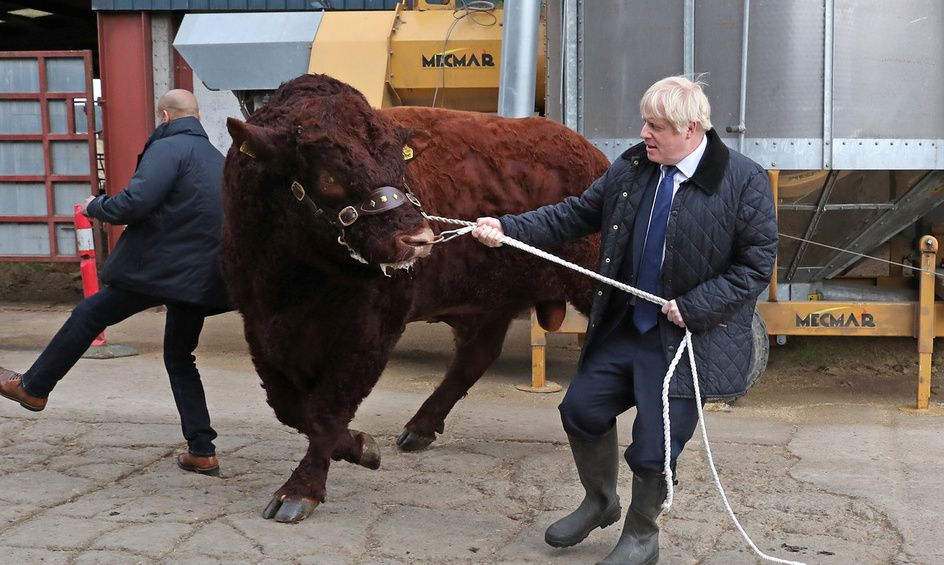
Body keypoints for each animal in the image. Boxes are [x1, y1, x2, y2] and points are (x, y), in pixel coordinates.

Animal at [223, 72, 604, 524]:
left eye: (399, 164)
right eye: (329, 176)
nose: (419, 239)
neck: (292, 279)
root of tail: (589, 152)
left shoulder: (372, 330)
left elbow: (326, 410)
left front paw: (302, 490)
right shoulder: (259, 325)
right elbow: (291, 407)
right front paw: (360, 446)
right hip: (491, 301)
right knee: (475, 357)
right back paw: (420, 428)